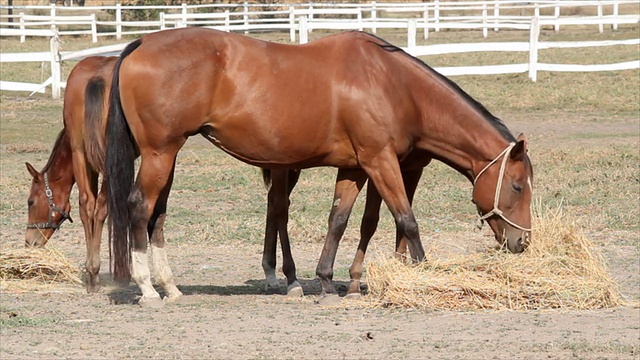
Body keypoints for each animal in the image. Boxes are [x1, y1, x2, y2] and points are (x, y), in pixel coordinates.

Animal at [107, 27, 532, 306]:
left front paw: (328, 283)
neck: (392, 84)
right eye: (517, 186)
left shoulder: (357, 168)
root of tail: (141, 43)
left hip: (168, 156)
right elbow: (406, 219)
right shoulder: (380, 161)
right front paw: (422, 273)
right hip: (161, 153)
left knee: (158, 215)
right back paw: (147, 289)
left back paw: (170, 286)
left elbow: (340, 221)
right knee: (140, 208)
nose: (522, 243)